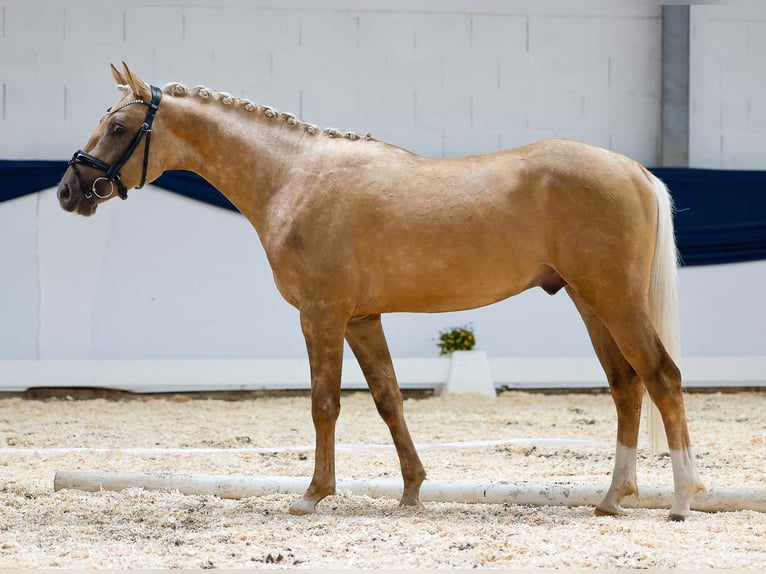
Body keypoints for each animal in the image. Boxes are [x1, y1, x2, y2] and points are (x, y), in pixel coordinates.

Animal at [58, 63, 708, 520]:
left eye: (118, 126)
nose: (68, 191)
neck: (294, 177)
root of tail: (634, 170)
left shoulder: (321, 316)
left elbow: (324, 404)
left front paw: (313, 495)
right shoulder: (361, 319)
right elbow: (389, 399)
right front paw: (412, 491)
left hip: (615, 300)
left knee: (663, 378)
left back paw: (681, 499)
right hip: (590, 303)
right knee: (626, 387)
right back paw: (613, 497)